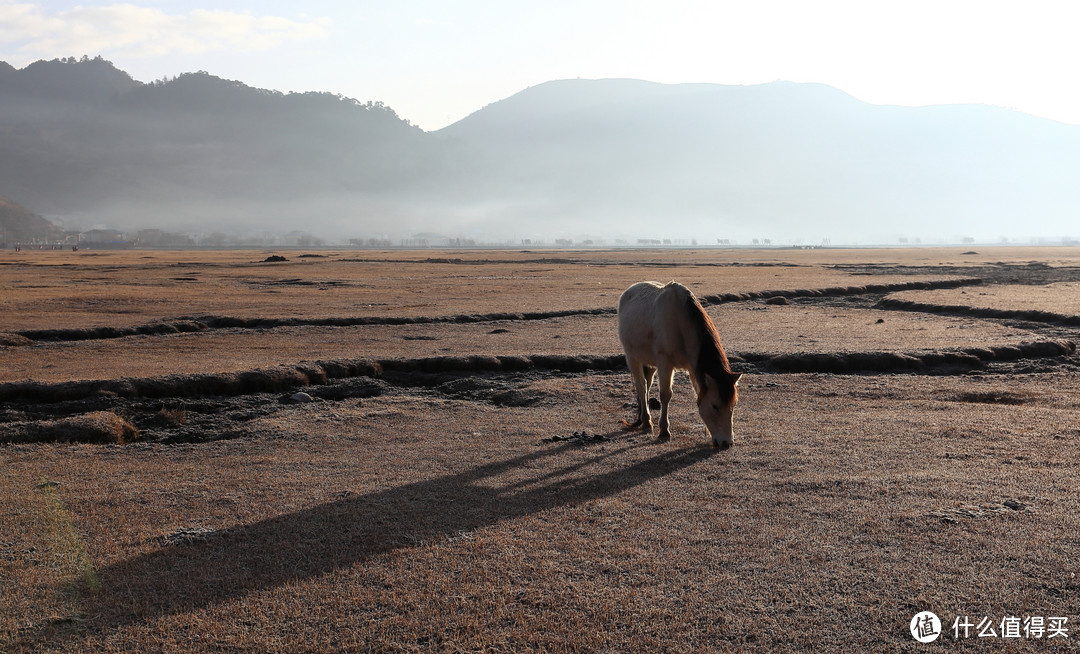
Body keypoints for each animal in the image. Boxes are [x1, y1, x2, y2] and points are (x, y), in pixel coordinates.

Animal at [617, 282, 743, 451]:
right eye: (715, 406)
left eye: (733, 405)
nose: (726, 443)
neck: (680, 322)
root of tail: (629, 290)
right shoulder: (665, 362)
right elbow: (665, 395)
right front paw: (664, 431)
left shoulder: (692, 367)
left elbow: (698, 393)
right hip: (632, 357)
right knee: (641, 386)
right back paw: (646, 422)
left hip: (649, 362)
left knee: (647, 385)